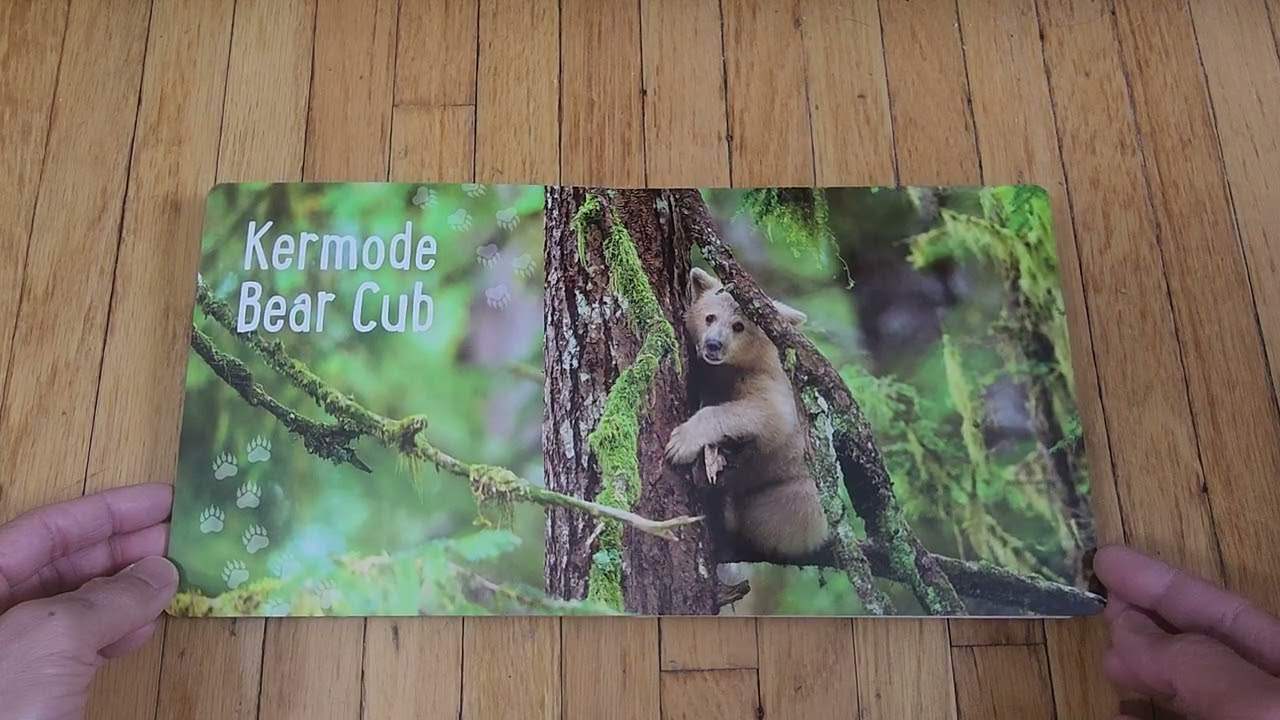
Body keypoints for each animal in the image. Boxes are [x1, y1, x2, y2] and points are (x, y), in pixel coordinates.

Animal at [665, 267, 832, 563]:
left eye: (739, 326)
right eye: (710, 316)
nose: (713, 344)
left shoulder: (768, 381)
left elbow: (768, 412)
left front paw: (681, 443)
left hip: (789, 491)